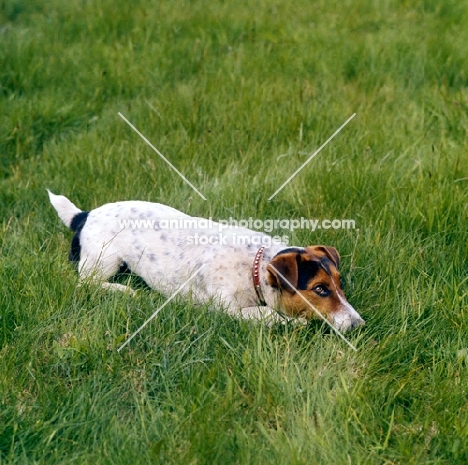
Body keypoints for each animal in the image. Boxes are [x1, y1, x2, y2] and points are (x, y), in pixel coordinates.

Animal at [47, 190, 364, 332]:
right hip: (104, 260)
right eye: (320, 289)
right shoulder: (226, 308)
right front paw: (292, 322)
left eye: (340, 284)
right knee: (85, 284)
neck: (255, 267)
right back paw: (124, 290)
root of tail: (84, 216)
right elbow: (268, 315)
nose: (360, 325)